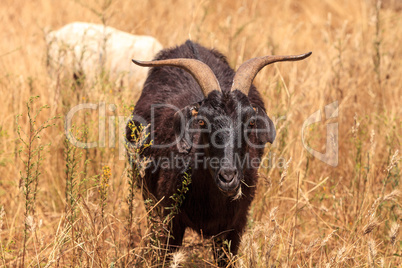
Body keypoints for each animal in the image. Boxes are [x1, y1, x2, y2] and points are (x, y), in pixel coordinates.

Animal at [125, 40, 310, 264]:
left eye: (250, 122)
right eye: (202, 121)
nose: (228, 178)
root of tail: (188, 43)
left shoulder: (234, 228)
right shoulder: (170, 219)